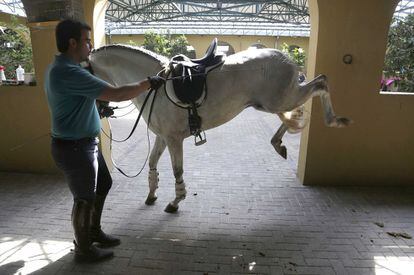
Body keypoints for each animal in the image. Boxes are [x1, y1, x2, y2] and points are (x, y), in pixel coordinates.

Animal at [90, 44, 350, 213]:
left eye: (88, 71)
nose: (102, 110)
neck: (156, 86)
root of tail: (285, 56)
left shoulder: (174, 139)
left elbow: (177, 170)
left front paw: (175, 202)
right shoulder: (162, 137)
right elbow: (153, 163)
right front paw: (152, 194)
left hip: (281, 100)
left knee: (321, 83)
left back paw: (334, 120)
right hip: (273, 101)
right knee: (305, 99)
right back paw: (279, 143)